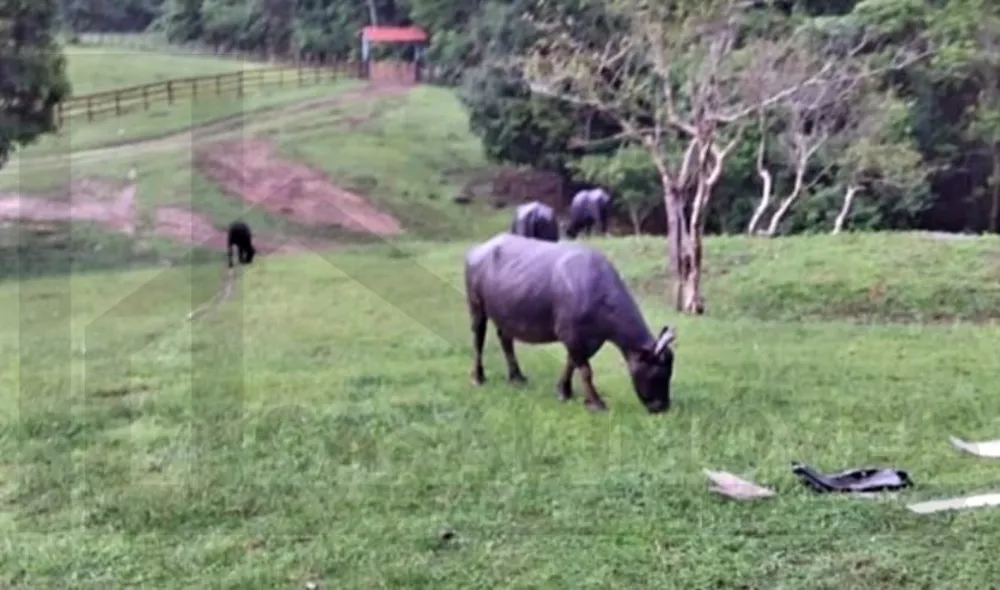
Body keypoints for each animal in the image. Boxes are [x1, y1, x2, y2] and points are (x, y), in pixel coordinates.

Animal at [464, 234, 676, 414]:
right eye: (658, 374)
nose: (662, 407)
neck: (596, 291)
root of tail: (477, 250)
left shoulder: (588, 341)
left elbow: (571, 363)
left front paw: (563, 391)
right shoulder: (571, 336)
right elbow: (586, 371)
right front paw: (596, 403)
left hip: (505, 314)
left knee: (506, 340)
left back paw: (516, 377)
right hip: (476, 307)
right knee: (478, 339)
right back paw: (477, 377)